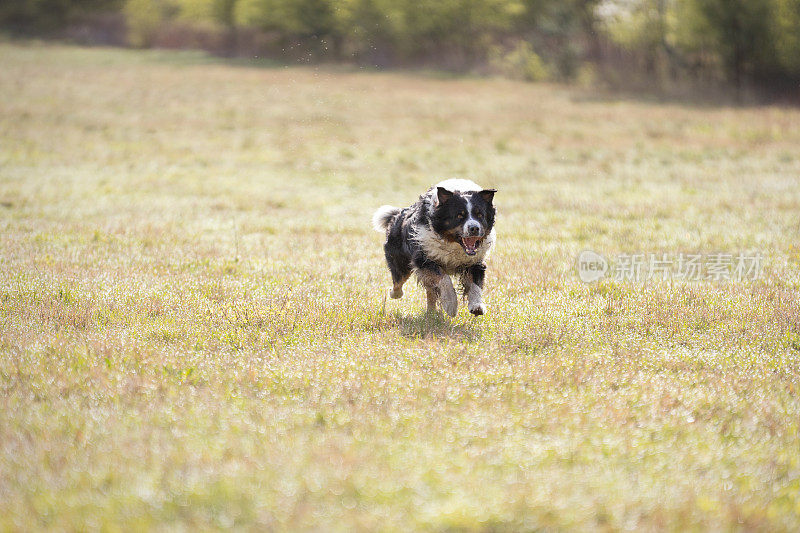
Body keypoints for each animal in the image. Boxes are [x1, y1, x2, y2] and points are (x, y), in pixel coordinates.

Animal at [372, 179, 496, 316]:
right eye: (459, 216)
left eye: (480, 215)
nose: (474, 228)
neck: (452, 244)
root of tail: (397, 215)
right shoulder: (424, 259)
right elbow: (444, 278)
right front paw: (451, 305)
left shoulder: (475, 261)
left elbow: (475, 284)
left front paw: (477, 306)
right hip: (400, 261)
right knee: (399, 281)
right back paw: (395, 294)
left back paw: (431, 313)